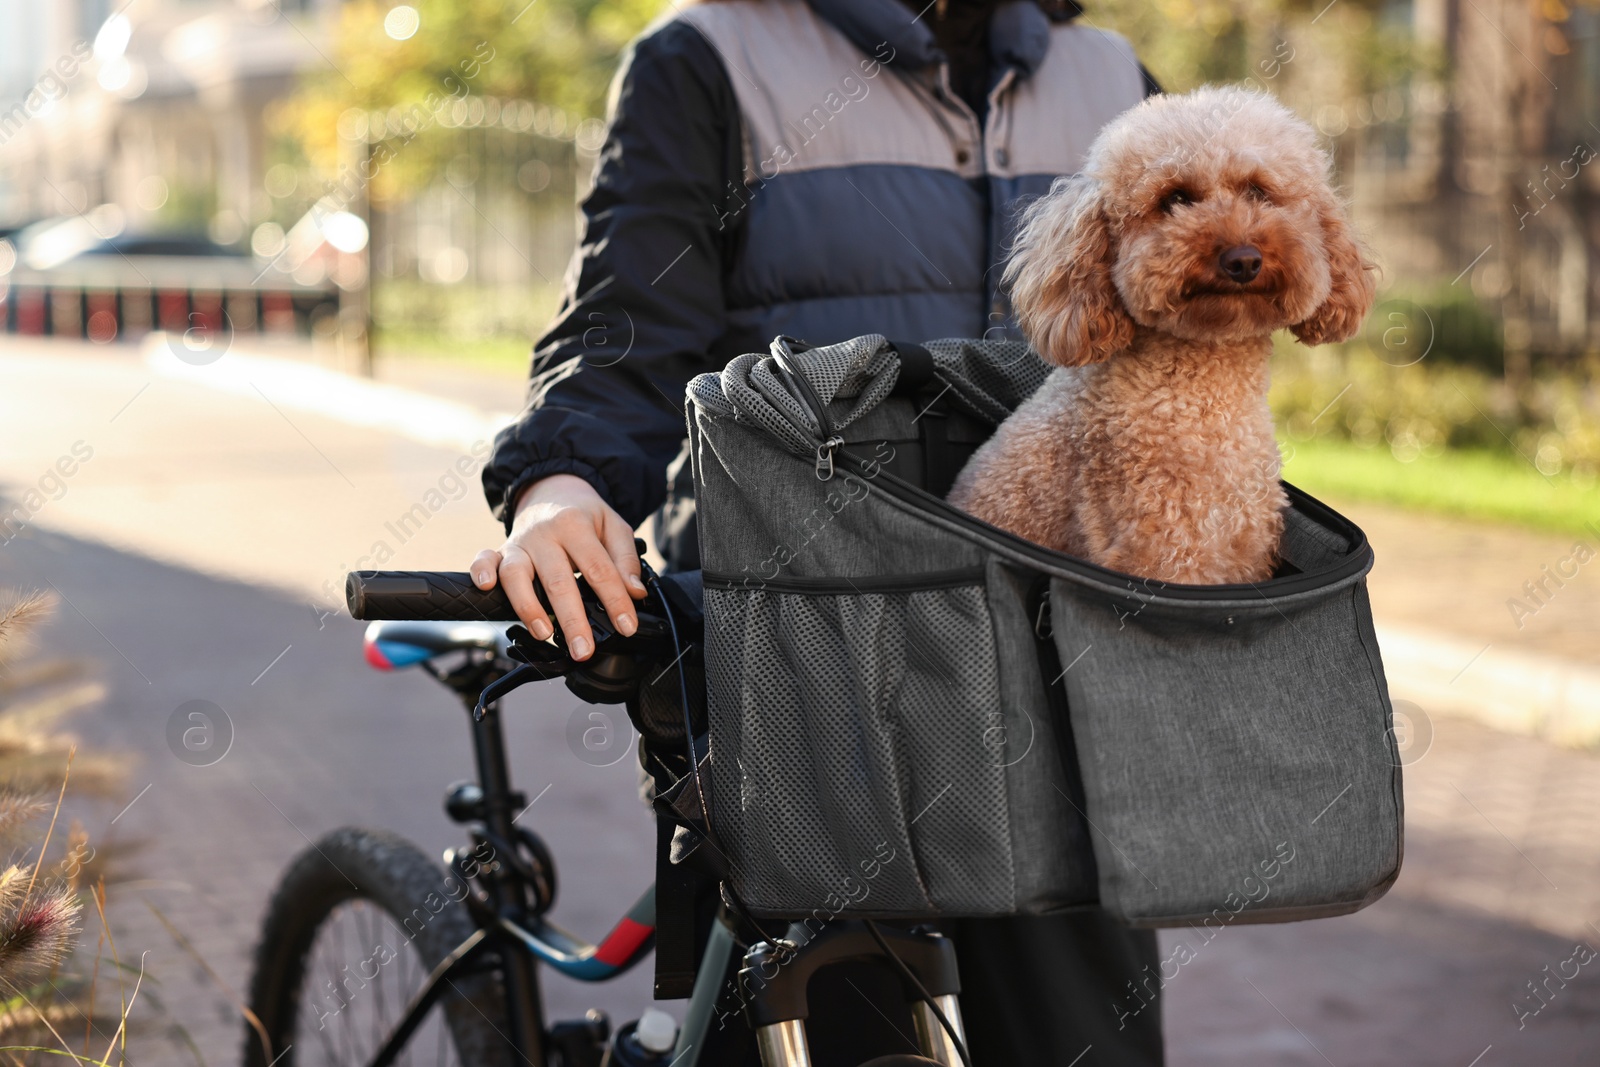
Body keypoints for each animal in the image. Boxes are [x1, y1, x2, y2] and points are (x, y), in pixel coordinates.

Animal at [947, 85, 1376, 585]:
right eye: (1175, 198)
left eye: (1257, 191)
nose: (1243, 259)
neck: (1204, 397)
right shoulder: (1166, 551)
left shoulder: (1243, 550)